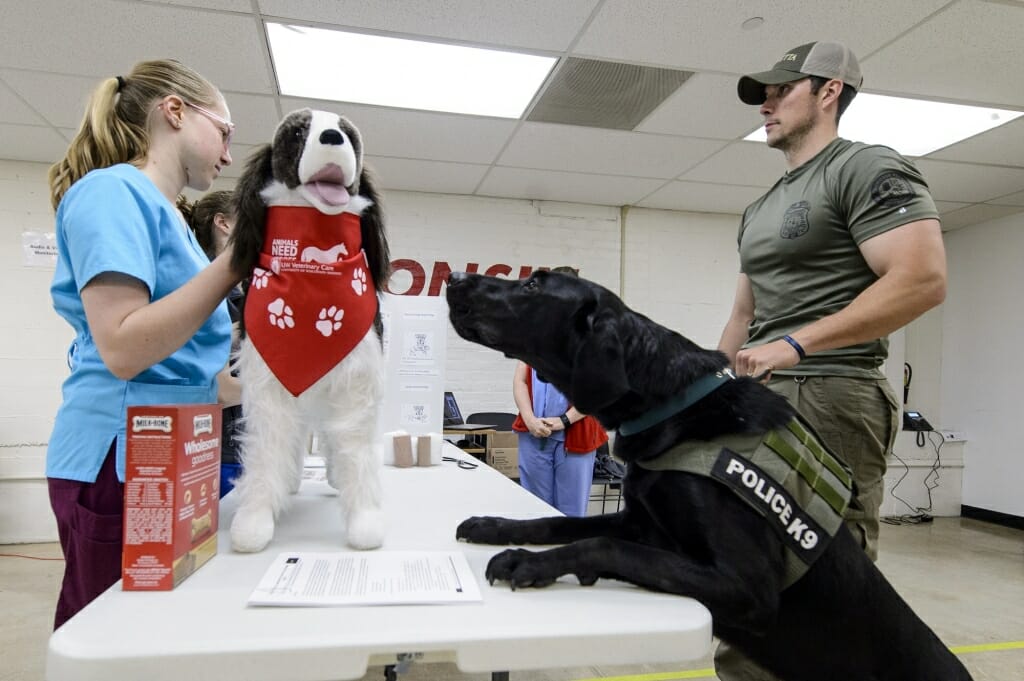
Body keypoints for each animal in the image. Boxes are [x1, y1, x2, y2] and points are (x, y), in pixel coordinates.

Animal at [446, 270, 966, 679]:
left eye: (534, 284)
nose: (453, 278)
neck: (670, 404)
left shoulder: (745, 587)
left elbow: (601, 544)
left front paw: (526, 563)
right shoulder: (639, 521)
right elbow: (558, 521)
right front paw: (495, 526)